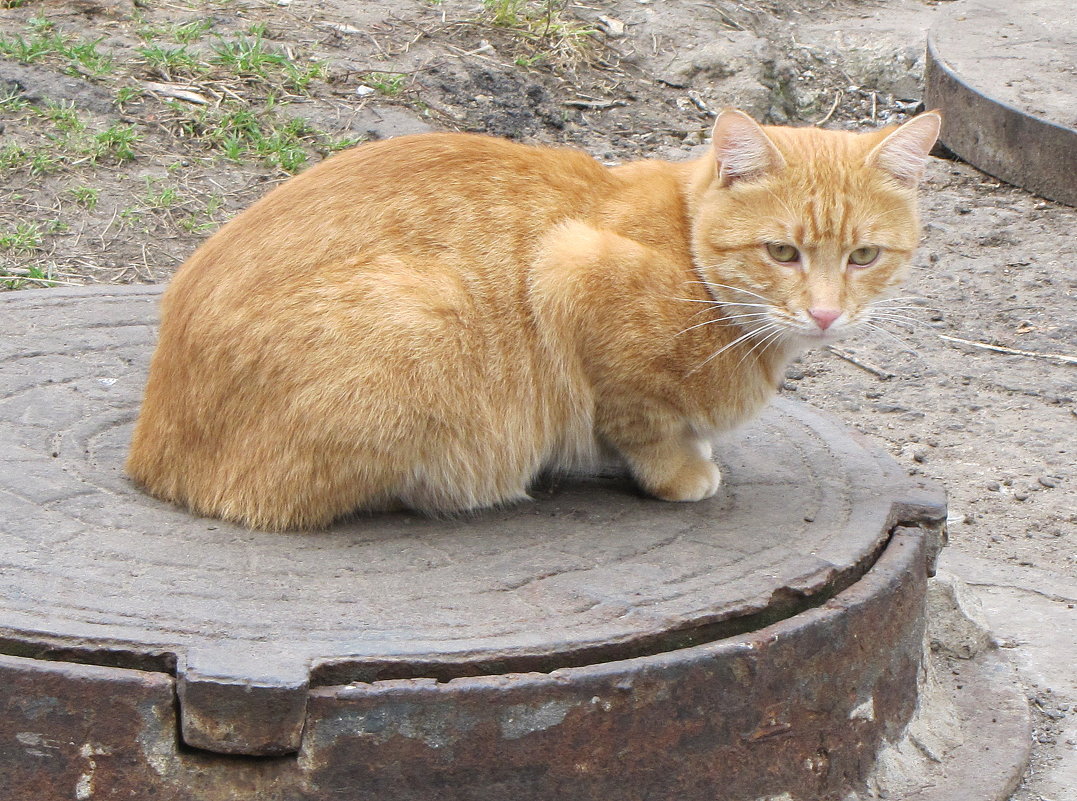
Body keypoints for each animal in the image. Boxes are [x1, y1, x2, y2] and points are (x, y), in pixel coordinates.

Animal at [126, 108, 939, 531]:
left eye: (864, 255)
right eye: (781, 252)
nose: (826, 313)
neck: (687, 247)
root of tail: (149, 455)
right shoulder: (570, 272)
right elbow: (643, 424)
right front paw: (682, 472)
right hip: (423, 323)